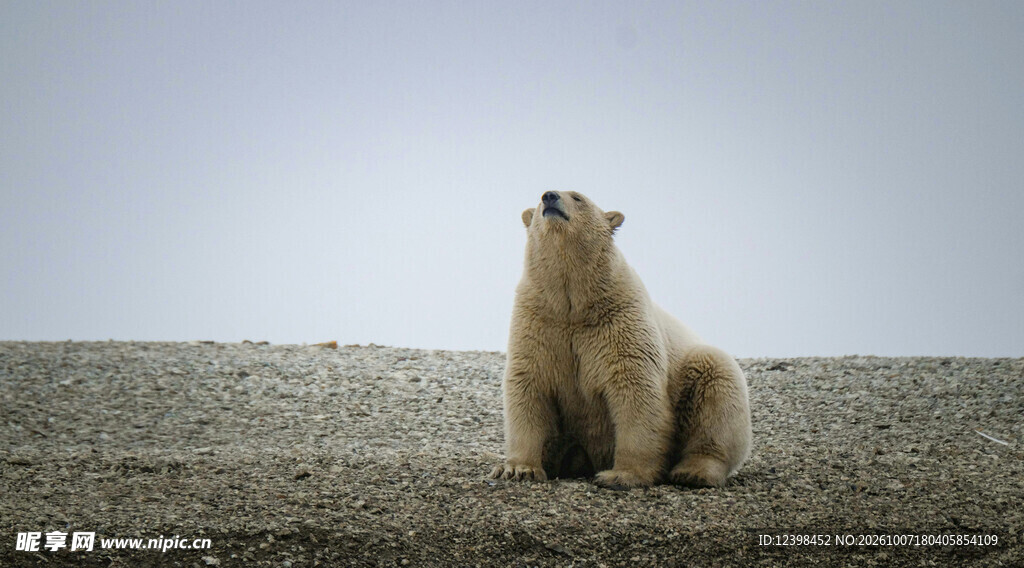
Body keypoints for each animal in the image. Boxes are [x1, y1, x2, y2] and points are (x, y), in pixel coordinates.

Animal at [489, 190, 752, 488]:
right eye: (539, 198)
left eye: (577, 197)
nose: (550, 197)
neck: (573, 304)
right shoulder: (539, 323)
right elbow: (529, 387)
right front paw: (518, 469)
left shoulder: (621, 321)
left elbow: (635, 390)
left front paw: (622, 474)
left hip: (697, 372)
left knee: (716, 389)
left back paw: (693, 471)